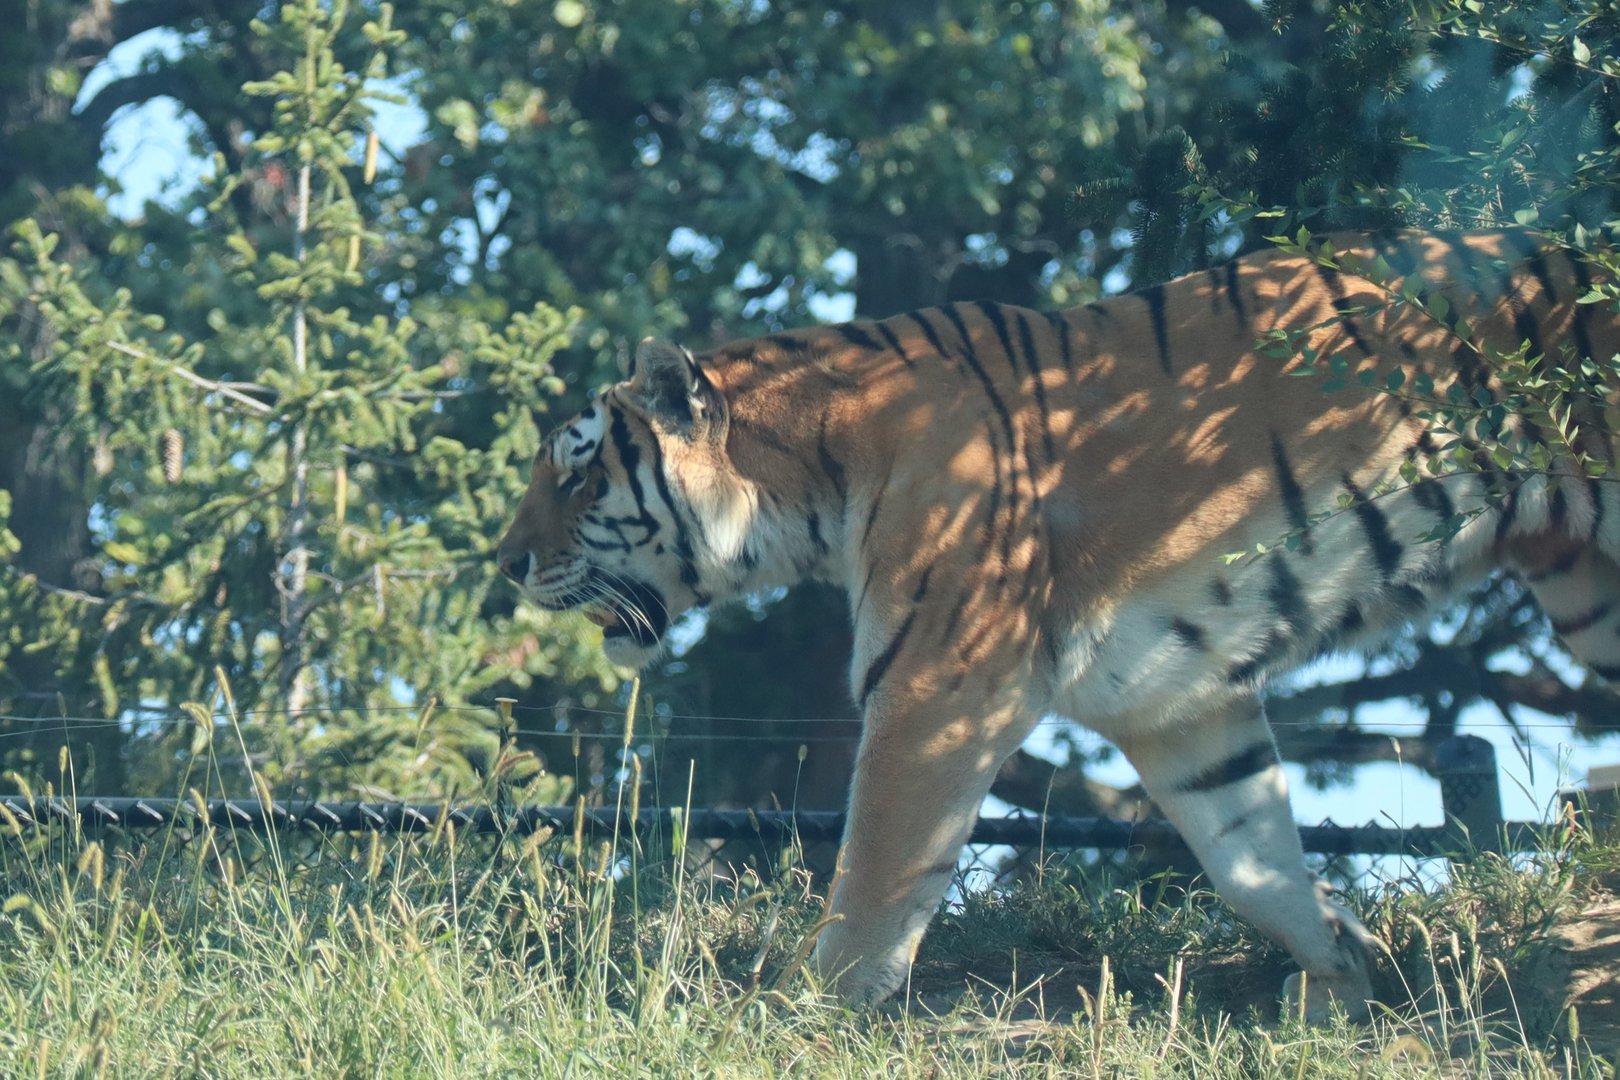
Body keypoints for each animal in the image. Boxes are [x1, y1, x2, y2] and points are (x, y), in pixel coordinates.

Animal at [496, 229, 1620, 1022]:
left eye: (580, 473)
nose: (505, 563)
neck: (810, 483)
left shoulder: (939, 685)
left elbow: (877, 870)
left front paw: (802, 1010)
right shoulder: (1182, 703)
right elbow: (1254, 862)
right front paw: (1341, 975)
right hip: (1587, 587)